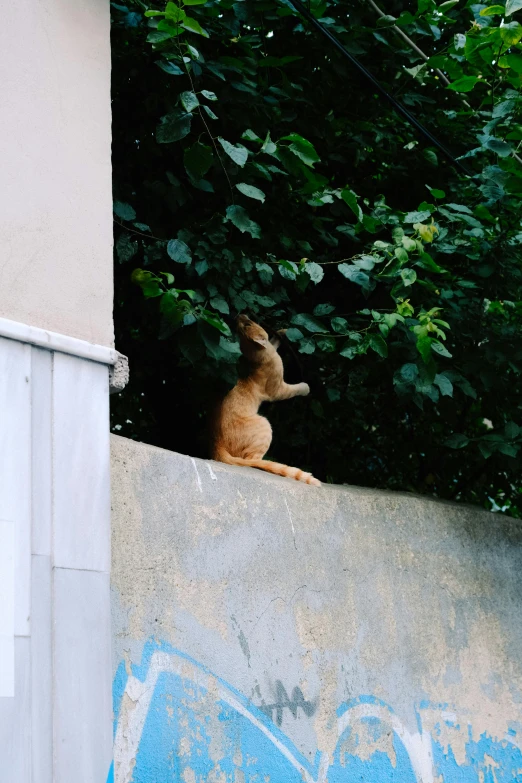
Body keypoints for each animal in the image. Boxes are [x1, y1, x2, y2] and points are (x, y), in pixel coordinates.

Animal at [209, 316, 318, 486]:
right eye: (247, 324)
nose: (240, 314)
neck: (258, 359)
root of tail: (216, 445)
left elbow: (274, 340)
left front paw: (283, 331)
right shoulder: (278, 390)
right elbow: (295, 389)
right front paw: (306, 388)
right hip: (265, 426)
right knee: (251, 460)